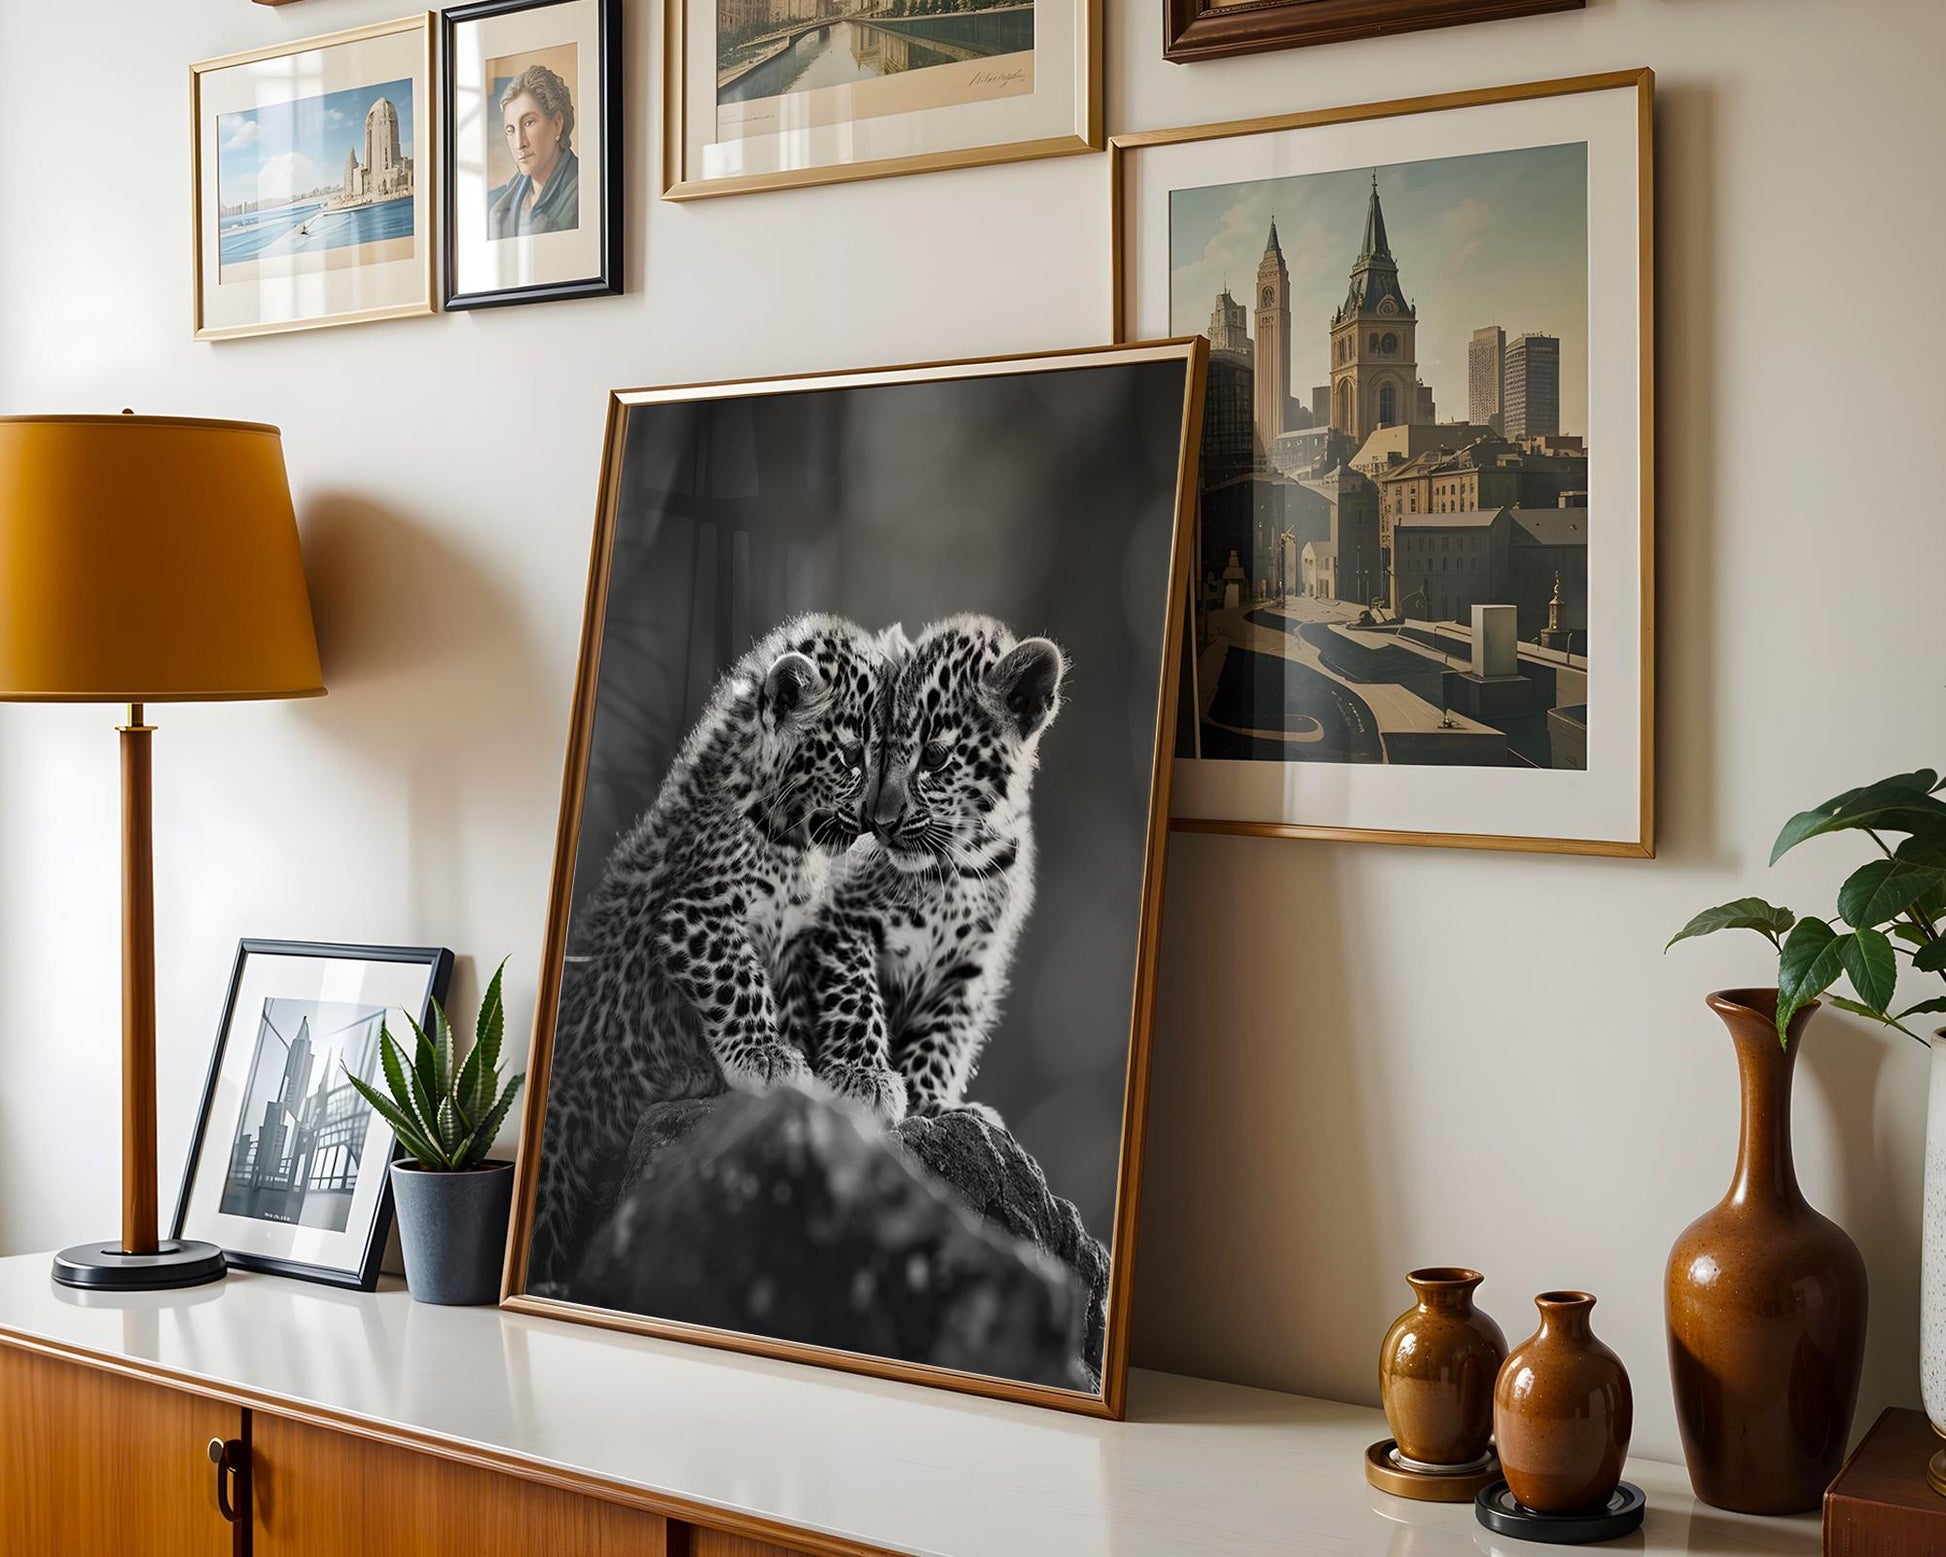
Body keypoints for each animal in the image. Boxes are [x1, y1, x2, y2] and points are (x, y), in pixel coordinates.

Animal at [527, 613, 891, 1290]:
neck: (789, 838)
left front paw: (865, 1076)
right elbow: (740, 981)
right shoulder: (696, 916)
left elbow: (856, 991)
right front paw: (768, 1059)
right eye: (853, 757)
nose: (878, 823)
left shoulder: (816, 930)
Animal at [777, 613, 1067, 1128]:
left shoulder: (971, 966)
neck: (959, 867)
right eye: (873, 754)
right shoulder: (841, 922)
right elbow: (855, 996)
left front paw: (930, 1101)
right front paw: (864, 1076)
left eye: (934, 756)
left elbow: (945, 1035)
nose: (881, 823)